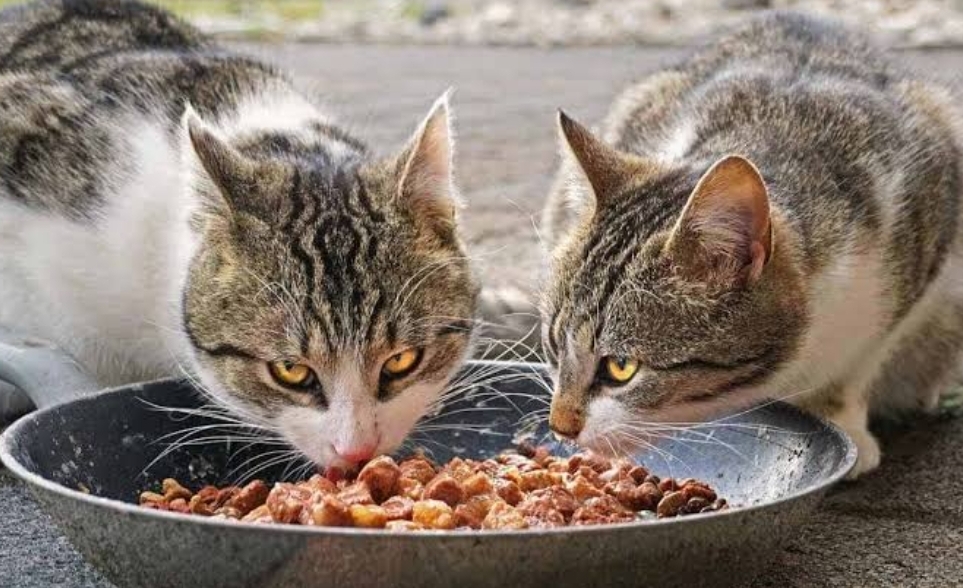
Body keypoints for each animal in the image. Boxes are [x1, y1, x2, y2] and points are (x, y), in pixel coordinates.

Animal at [540, 11, 963, 478]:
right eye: (554, 345)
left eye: (621, 367)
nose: (560, 426)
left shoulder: (926, 221)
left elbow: (858, 362)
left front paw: (842, 420)